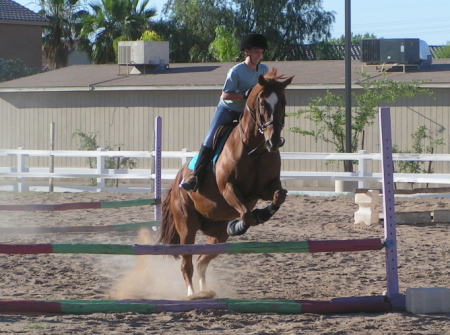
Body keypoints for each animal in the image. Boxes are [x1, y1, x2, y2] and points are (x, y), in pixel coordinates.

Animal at [156, 67, 294, 296]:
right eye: (262, 103)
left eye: (283, 102)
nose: (274, 142)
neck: (254, 149)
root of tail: (176, 182)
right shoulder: (228, 188)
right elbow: (246, 215)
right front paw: (238, 225)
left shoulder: (265, 188)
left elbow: (279, 195)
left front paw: (262, 214)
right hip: (186, 225)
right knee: (187, 263)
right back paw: (192, 295)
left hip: (217, 234)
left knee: (202, 261)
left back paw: (205, 292)